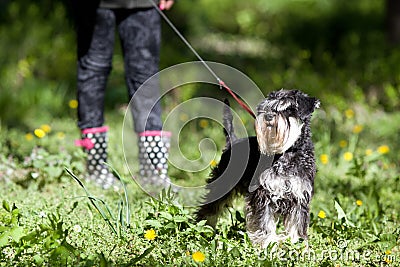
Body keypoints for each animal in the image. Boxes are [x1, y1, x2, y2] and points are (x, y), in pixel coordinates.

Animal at [195, 89, 320, 248]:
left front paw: (297, 245)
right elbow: (264, 223)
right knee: (209, 208)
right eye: (267, 107)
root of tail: (232, 141)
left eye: (289, 108)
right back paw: (203, 229)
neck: (285, 153)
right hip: (222, 185)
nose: (268, 116)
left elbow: (296, 225)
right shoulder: (262, 195)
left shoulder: (299, 196)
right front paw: (268, 245)